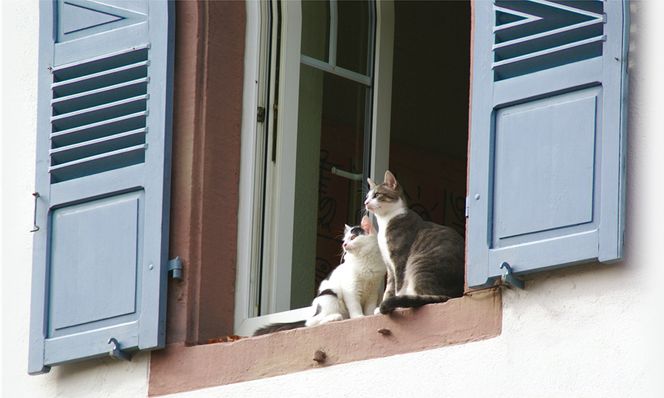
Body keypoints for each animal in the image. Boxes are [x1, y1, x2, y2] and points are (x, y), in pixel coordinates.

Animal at [255, 215, 390, 336]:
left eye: (353, 237)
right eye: (344, 240)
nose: (344, 245)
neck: (365, 259)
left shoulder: (373, 290)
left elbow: (370, 307)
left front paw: (368, 316)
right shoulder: (350, 288)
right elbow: (354, 305)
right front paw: (358, 317)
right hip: (330, 294)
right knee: (311, 323)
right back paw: (334, 318)